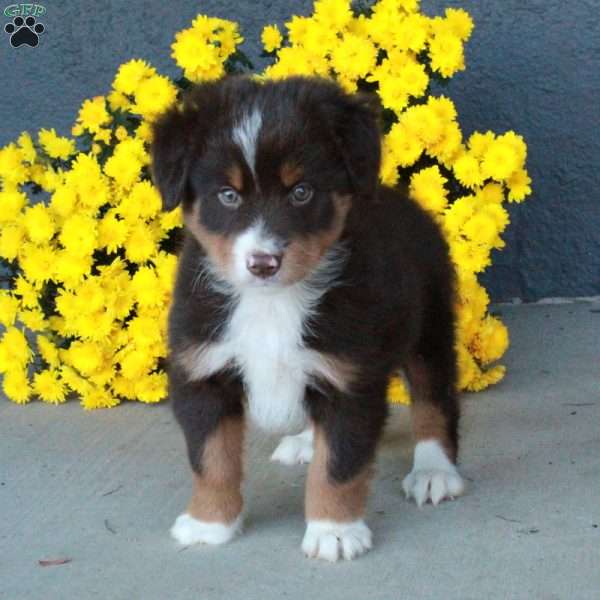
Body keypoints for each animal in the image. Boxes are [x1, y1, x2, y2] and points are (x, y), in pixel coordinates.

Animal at [150, 76, 464, 564]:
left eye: (301, 192)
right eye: (228, 195)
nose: (263, 262)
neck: (270, 303)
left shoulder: (350, 378)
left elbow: (338, 465)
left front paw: (334, 531)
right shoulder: (204, 371)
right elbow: (211, 458)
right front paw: (209, 523)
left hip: (429, 325)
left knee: (435, 399)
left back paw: (434, 471)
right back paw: (302, 442)